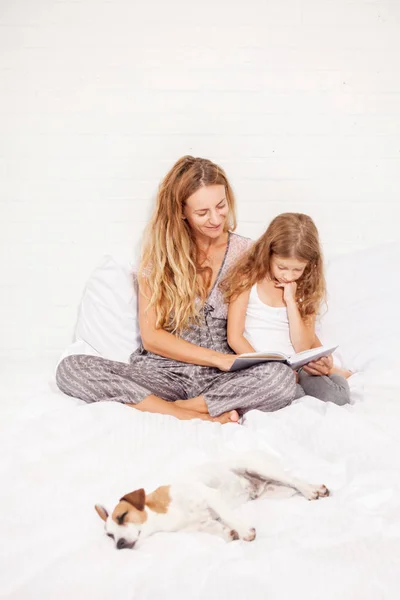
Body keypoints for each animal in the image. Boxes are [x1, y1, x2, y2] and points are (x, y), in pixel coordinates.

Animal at [95, 450, 330, 548]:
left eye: (123, 516)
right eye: (109, 536)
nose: (119, 545)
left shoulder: (209, 495)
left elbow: (228, 516)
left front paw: (244, 532)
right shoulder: (201, 525)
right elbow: (219, 529)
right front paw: (230, 533)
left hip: (258, 467)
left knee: (294, 479)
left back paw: (312, 490)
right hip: (276, 491)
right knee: (292, 485)